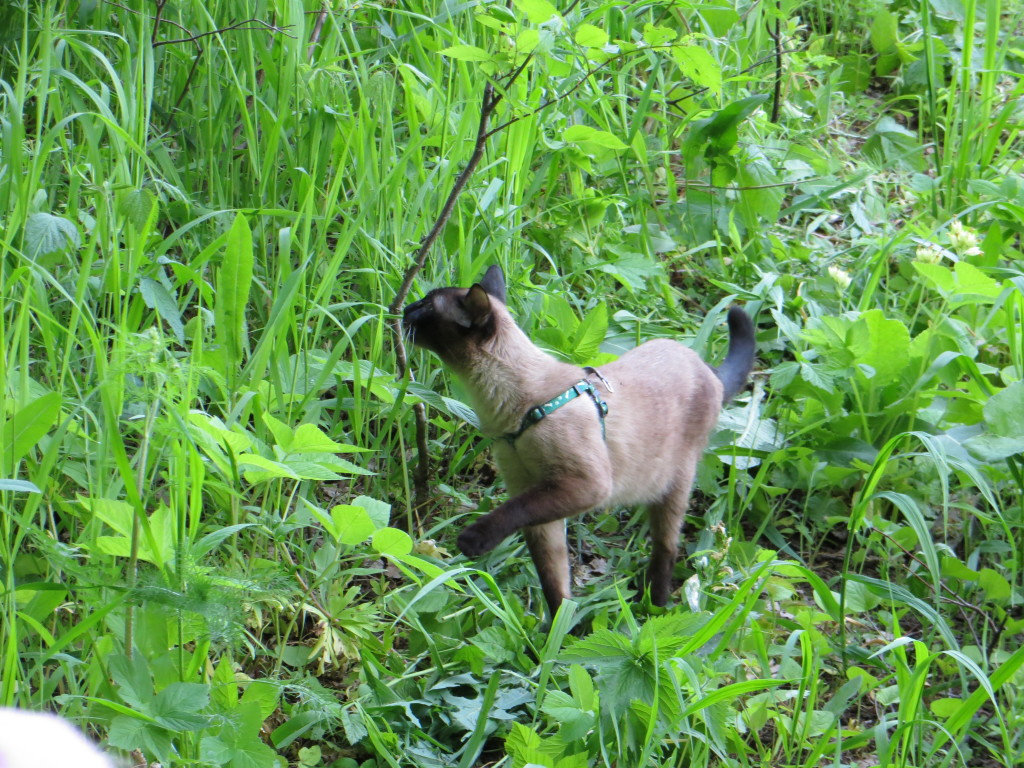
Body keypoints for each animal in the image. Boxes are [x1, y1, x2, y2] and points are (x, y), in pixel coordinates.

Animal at [403, 265, 755, 616]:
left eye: (426, 306)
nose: (405, 308)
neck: (506, 410)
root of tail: (706, 367)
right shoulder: (531, 493)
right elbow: (555, 585)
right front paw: (557, 630)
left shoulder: (582, 486)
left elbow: (512, 512)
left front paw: (471, 541)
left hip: (672, 487)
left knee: (666, 549)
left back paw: (653, 608)